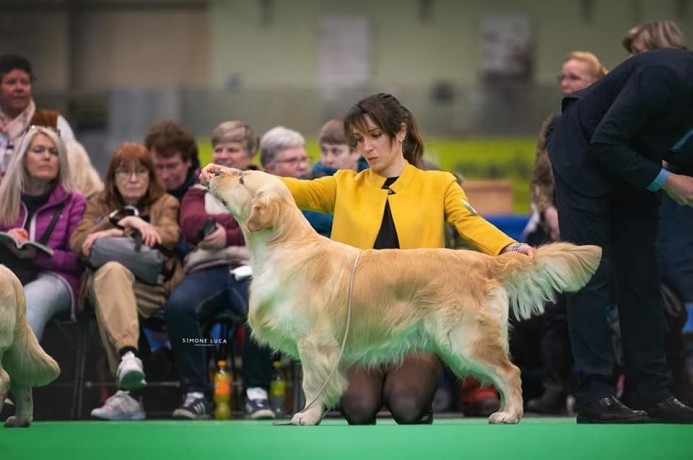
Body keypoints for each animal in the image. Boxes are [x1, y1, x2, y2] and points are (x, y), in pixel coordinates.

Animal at [205, 167, 600, 426]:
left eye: (241, 179)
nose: (212, 173)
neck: (285, 246)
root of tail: (485, 262)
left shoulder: (315, 342)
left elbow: (314, 383)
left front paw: (307, 415)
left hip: (466, 339)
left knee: (511, 372)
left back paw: (511, 414)